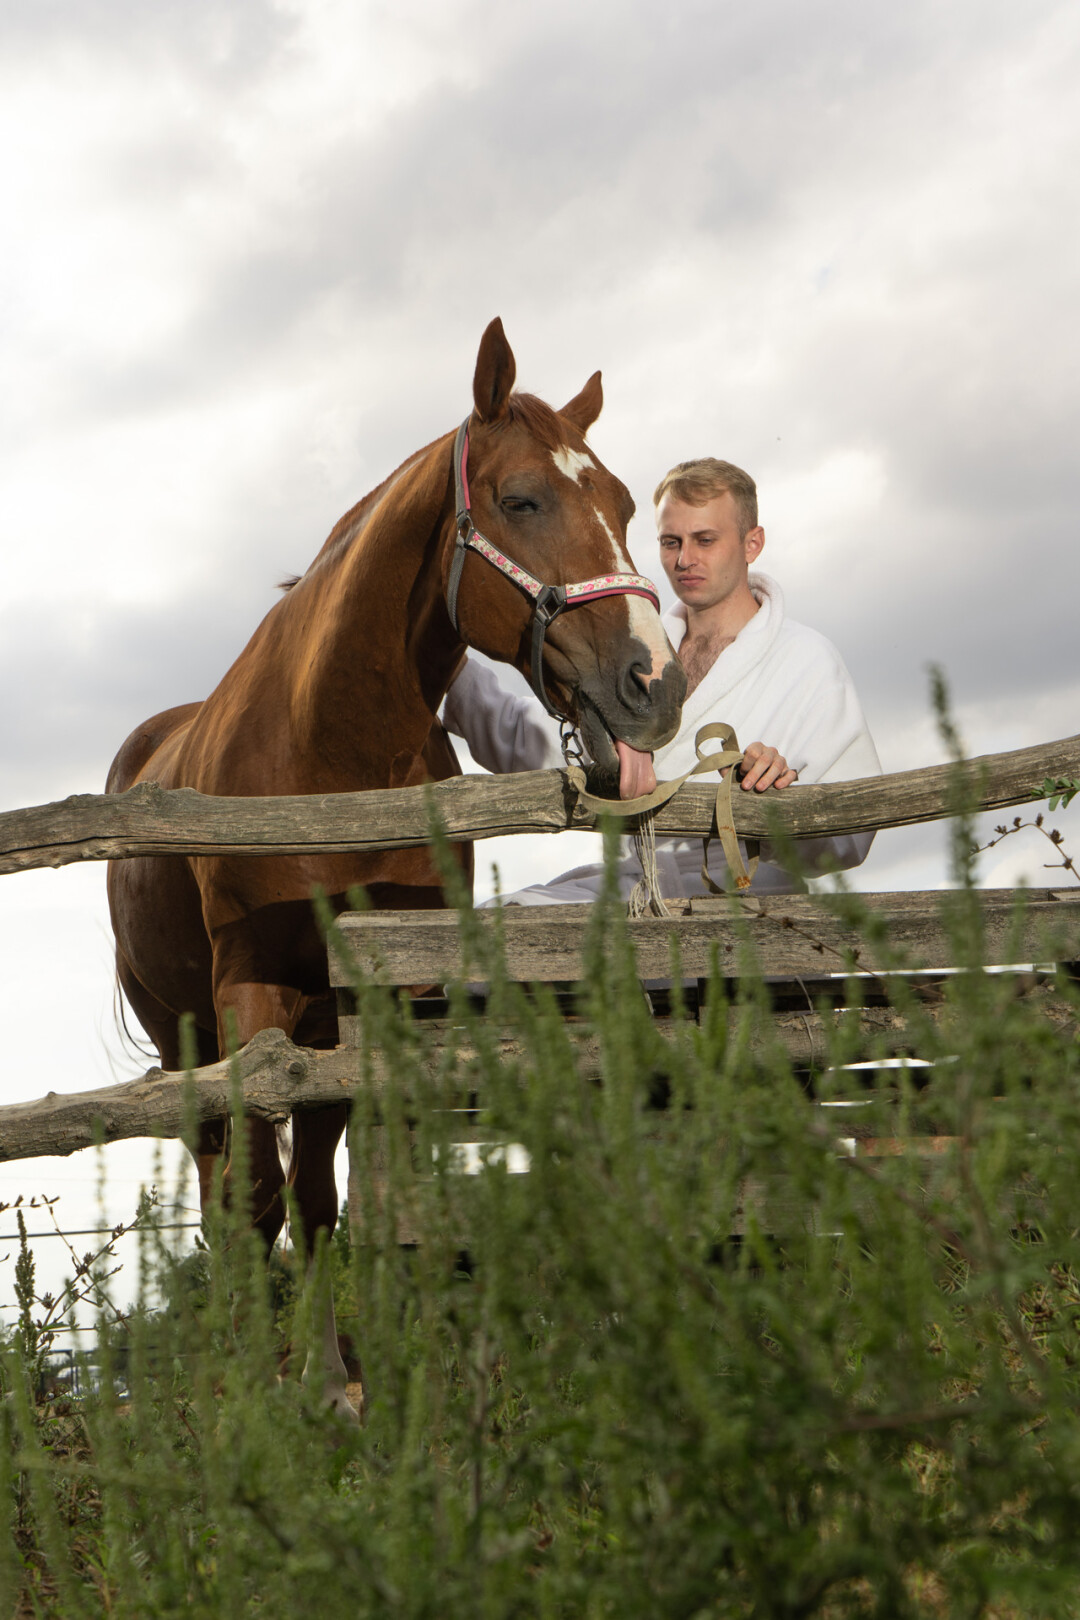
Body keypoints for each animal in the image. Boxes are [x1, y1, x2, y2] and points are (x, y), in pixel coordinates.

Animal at [105, 319, 689, 1419]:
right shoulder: (251, 991)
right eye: (523, 500)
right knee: (220, 1182)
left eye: (629, 505)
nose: (654, 684)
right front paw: (262, 1400)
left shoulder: (384, 994)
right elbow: (256, 1198)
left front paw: (351, 1381)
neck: (330, 754)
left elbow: (348, 1195)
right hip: (183, 1032)